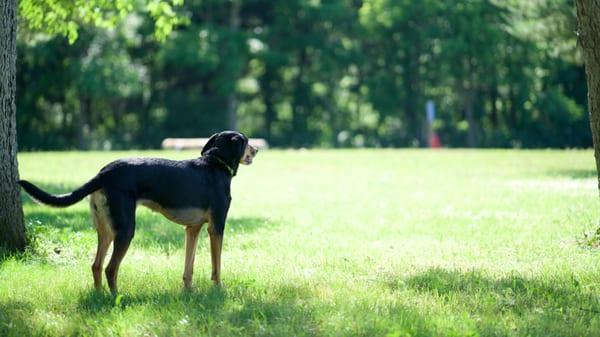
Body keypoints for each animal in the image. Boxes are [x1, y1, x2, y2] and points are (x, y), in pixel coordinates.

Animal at [18, 130, 258, 292]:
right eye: (246, 141)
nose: (257, 149)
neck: (215, 163)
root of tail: (105, 172)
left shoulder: (193, 229)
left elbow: (188, 268)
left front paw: (189, 292)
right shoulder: (216, 227)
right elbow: (216, 266)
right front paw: (218, 289)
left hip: (106, 231)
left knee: (96, 265)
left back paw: (99, 296)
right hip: (126, 230)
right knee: (110, 269)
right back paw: (116, 297)